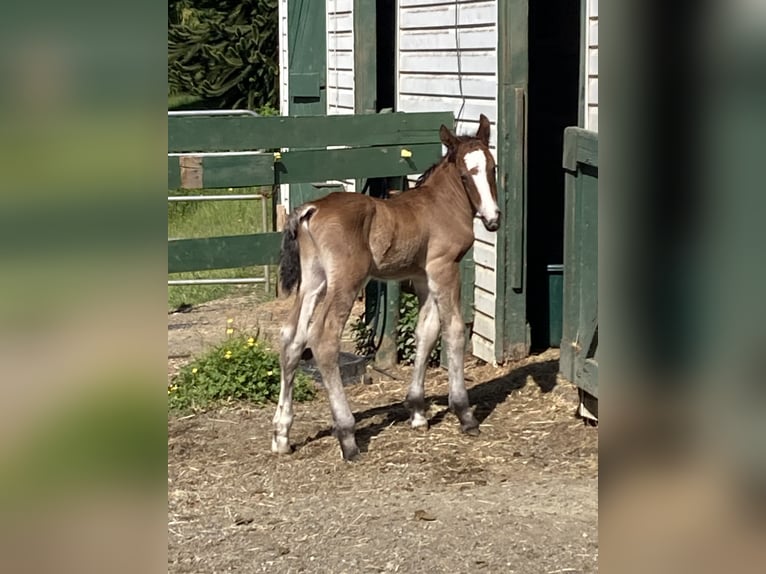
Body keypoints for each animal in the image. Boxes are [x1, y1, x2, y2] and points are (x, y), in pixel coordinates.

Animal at [273, 114, 500, 461]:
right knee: (323, 337)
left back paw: (282, 435)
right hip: (347, 280)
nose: (493, 219)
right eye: (464, 175)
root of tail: (311, 209)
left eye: (493, 168)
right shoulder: (444, 268)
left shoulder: (422, 277)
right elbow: (454, 331)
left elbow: (426, 332)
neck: (440, 205)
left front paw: (418, 412)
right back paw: (347, 436)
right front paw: (465, 413)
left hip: (313, 280)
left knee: (292, 337)